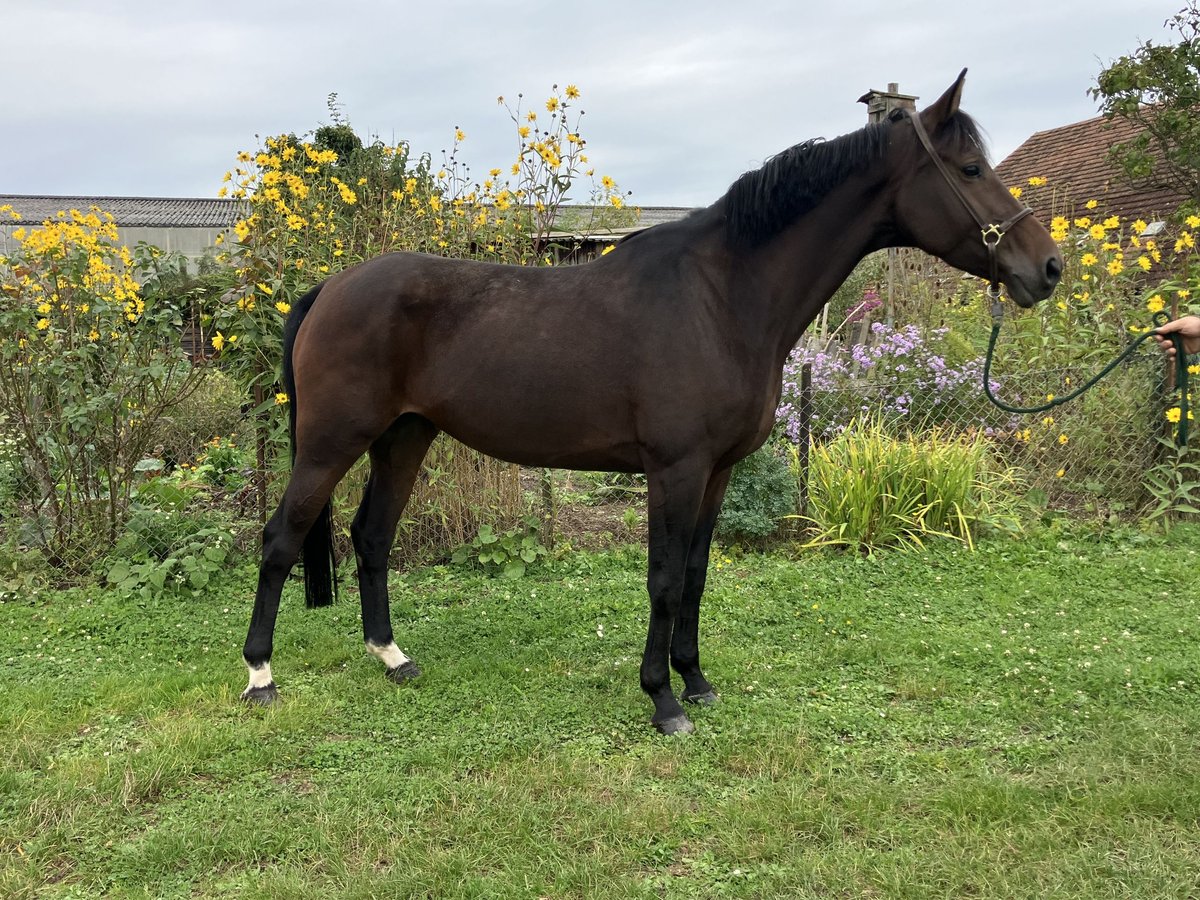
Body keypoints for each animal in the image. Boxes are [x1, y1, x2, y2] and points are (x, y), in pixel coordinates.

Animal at [241, 70, 1060, 734]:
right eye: (970, 168)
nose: (1047, 268)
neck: (721, 297)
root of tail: (331, 287)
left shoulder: (719, 472)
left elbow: (694, 576)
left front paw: (696, 682)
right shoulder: (676, 468)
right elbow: (664, 581)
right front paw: (663, 700)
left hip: (406, 437)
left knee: (372, 537)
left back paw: (393, 658)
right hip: (332, 442)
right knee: (282, 538)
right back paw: (260, 676)